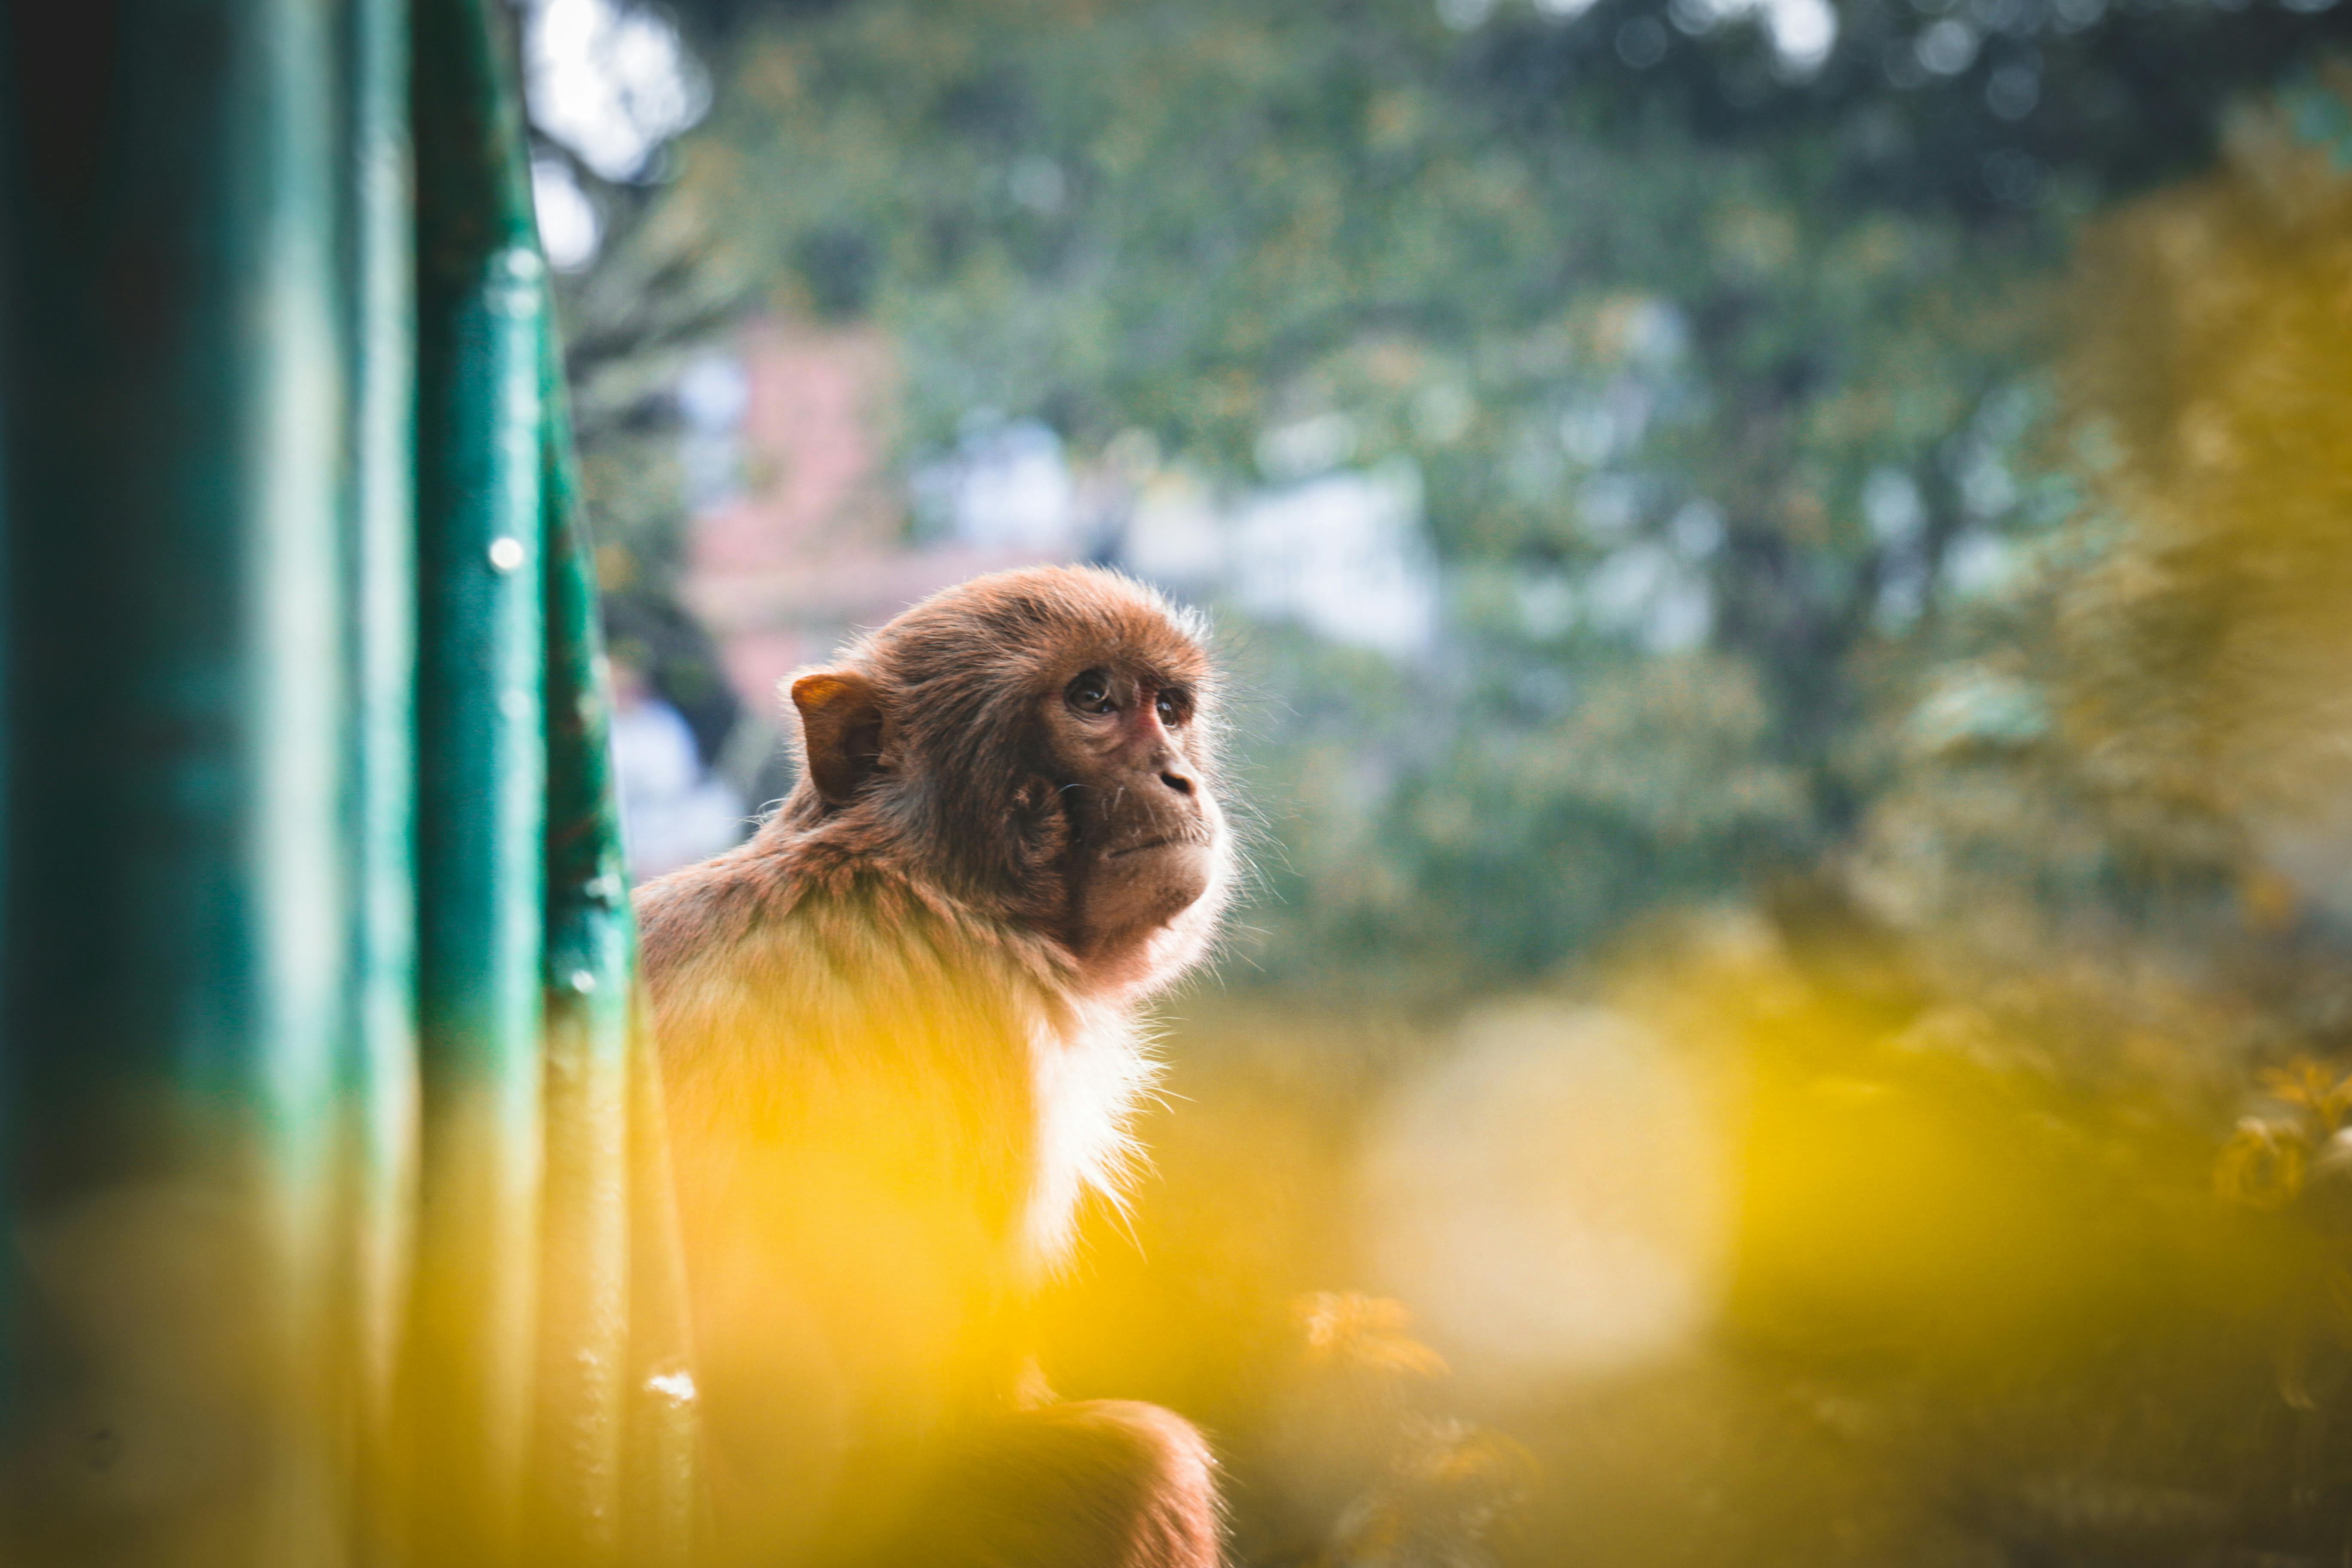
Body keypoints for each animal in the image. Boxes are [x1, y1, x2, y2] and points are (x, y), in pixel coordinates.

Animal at [632, 566, 1232, 1568]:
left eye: (1170, 707)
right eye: (1093, 700)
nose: (1177, 775)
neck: (922, 874)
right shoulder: (990, 1023)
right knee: (1141, 1463)